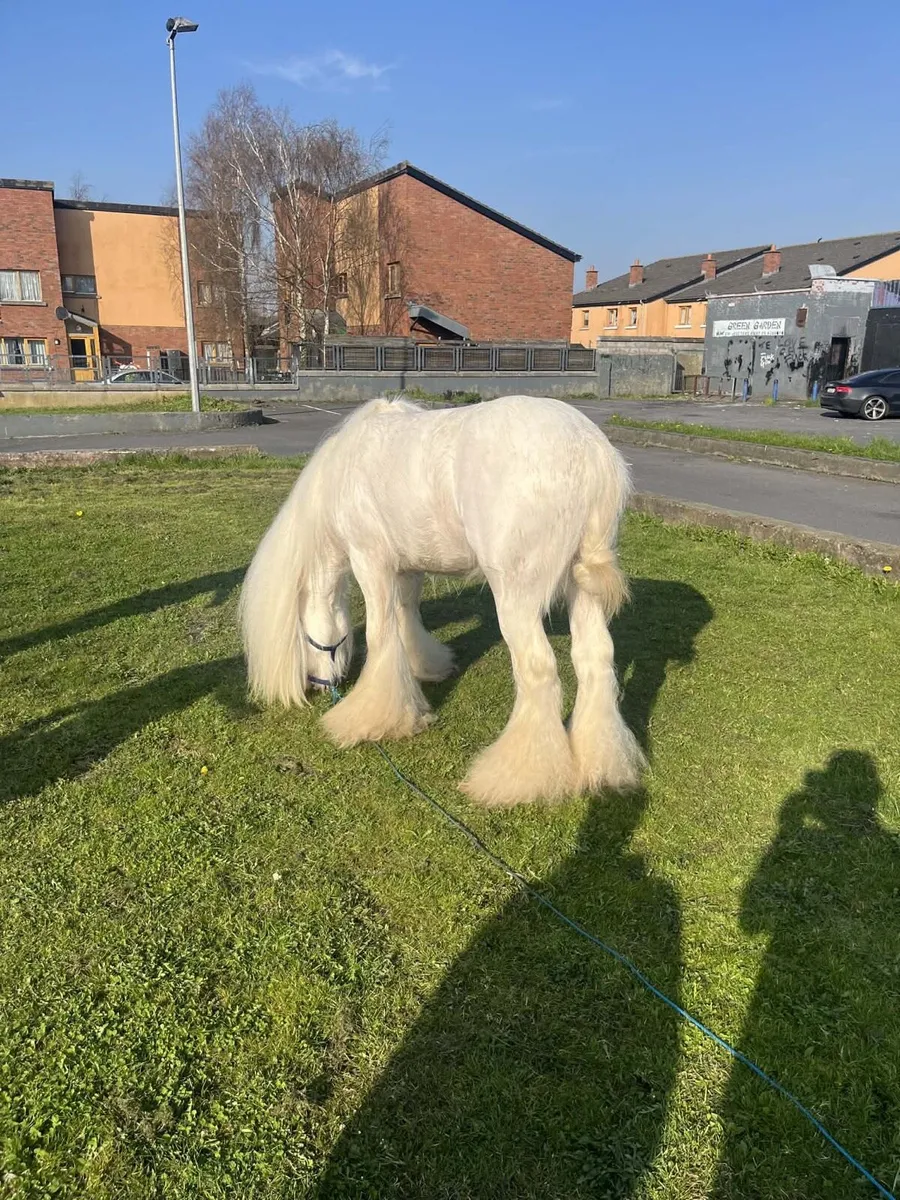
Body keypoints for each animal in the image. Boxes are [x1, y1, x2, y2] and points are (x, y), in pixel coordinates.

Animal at [239, 395, 645, 807]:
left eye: (300, 634)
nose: (319, 685)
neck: (346, 468)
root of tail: (591, 452)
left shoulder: (370, 560)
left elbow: (380, 634)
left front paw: (371, 719)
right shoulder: (406, 567)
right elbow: (405, 617)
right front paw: (422, 670)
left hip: (516, 597)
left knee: (538, 669)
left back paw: (516, 779)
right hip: (583, 591)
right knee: (596, 660)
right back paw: (598, 763)